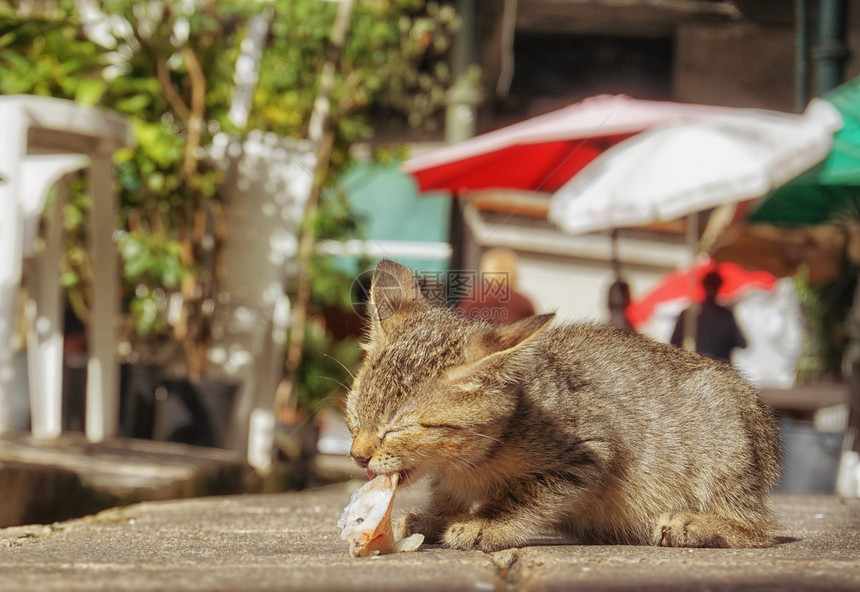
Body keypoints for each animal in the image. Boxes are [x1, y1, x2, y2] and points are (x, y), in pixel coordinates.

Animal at [342, 260, 780, 552]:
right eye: (354, 417)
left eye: (398, 428)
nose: (358, 456)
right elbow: (445, 493)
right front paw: (436, 516)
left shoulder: (587, 453)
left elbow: (523, 495)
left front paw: (487, 523)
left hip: (723, 444)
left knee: (761, 530)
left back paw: (695, 525)